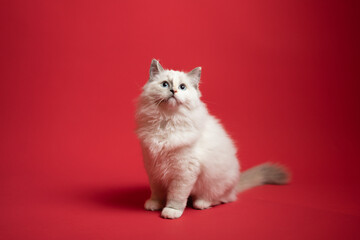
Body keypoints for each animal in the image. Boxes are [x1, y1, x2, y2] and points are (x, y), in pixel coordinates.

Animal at [135, 59, 290, 218]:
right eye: (165, 84)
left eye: (182, 87)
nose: (174, 91)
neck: (166, 122)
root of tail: (235, 185)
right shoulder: (153, 168)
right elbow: (157, 192)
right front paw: (154, 204)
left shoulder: (183, 172)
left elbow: (176, 196)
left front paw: (171, 211)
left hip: (215, 185)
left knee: (222, 199)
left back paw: (202, 203)